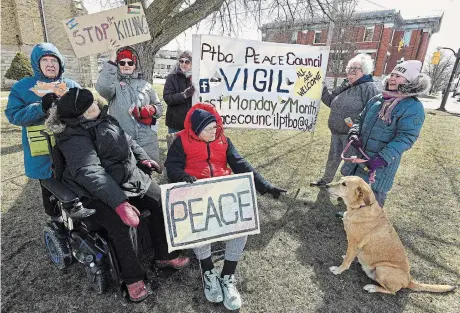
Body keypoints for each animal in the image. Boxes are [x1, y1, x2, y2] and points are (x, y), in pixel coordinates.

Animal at [326, 177, 454, 294]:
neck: (362, 207)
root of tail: (409, 280)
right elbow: (349, 257)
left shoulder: (354, 243)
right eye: (340, 179)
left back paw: (372, 287)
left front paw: (338, 270)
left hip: (382, 269)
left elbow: (347, 261)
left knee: (392, 291)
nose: (326, 185)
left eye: (344, 184)